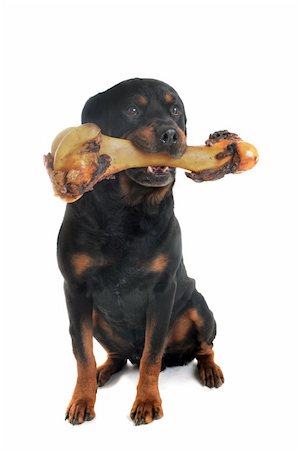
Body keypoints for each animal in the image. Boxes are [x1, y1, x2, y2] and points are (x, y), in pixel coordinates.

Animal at [58, 77, 224, 426]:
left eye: (175, 110)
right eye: (133, 110)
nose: (171, 133)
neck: (127, 210)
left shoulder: (162, 291)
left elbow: (151, 354)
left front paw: (147, 400)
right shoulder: (75, 291)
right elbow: (82, 352)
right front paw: (82, 399)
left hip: (199, 307)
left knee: (204, 347)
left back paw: (210, 369)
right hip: (97, 317)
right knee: (116, 355)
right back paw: (103, 371)